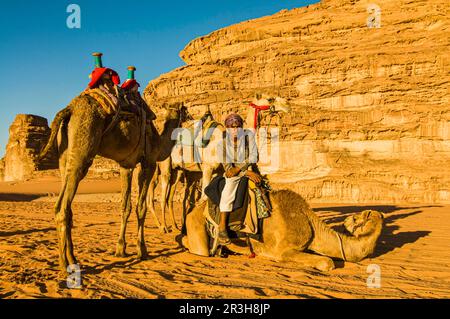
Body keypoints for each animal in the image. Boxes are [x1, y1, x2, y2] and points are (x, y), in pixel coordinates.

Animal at [181, 190, 384, 272]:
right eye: (356, 218)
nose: (347, 220)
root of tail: (194, 210)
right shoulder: (284, 251)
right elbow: (328, 262)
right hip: (195, 225)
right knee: (196, 246)